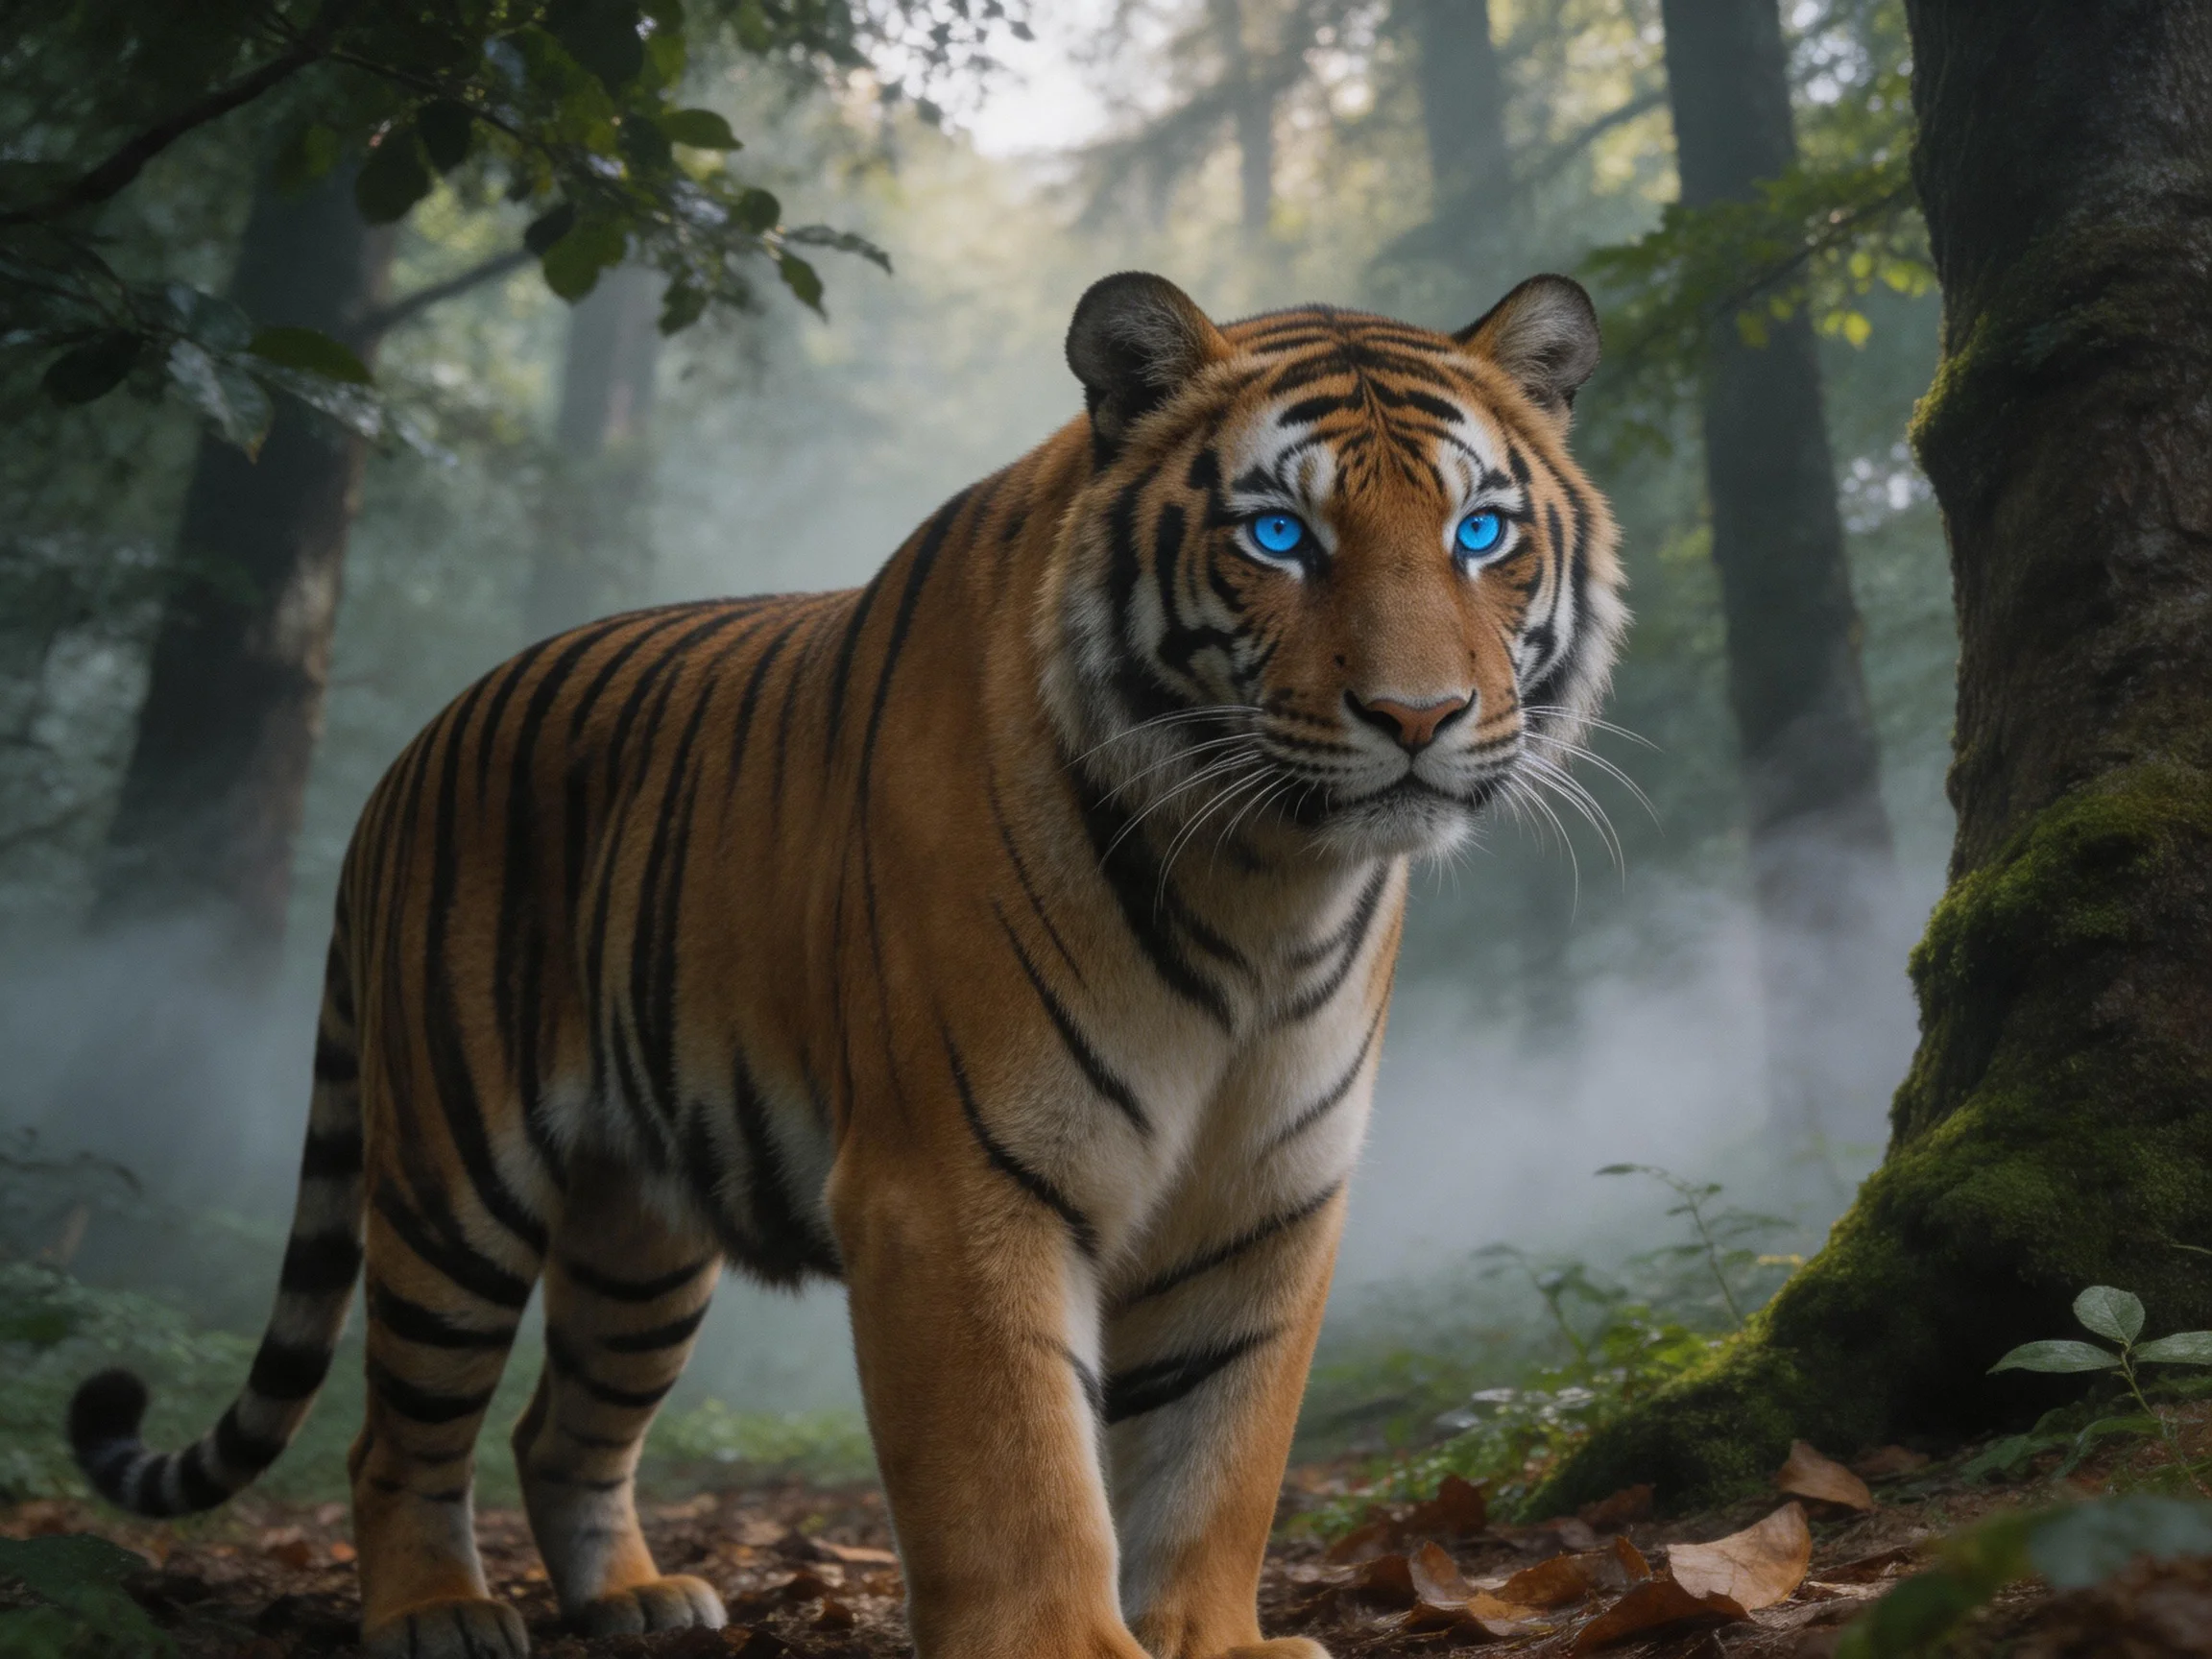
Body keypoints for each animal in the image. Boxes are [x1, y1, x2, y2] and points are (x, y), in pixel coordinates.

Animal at [68, 269, 1621, 1659]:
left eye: (1481, 530)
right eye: (1284, 535)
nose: (1418, 716)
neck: (1264, 883)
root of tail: (403, 761)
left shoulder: (1264, 1202)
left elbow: (1217, 1459)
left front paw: (1215, 1642)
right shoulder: (957, 1182)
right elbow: (1019, 1472)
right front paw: (1064, 1645)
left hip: (640, 1239)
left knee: (560, 1425)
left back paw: (636, 1600)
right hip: (453, 1187)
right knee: (397, 1430)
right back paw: (434, 1614)